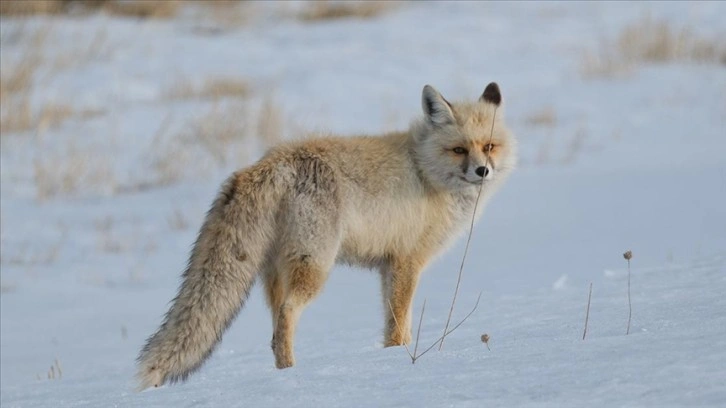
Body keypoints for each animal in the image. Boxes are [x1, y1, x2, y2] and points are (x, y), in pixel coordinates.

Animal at [136, 82, 520, 388]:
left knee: (274, 329)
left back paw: (281, 371)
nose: (482, 171)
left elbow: (398, 325)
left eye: (489, 146)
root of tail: (269, 162)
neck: (425, 170)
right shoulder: (406, 263)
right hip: (315, 267)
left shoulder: (388, 267)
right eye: (459, 150)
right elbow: (398, 327)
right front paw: (397, 361)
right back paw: (292, 372)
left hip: (276, 274)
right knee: (287, 316)